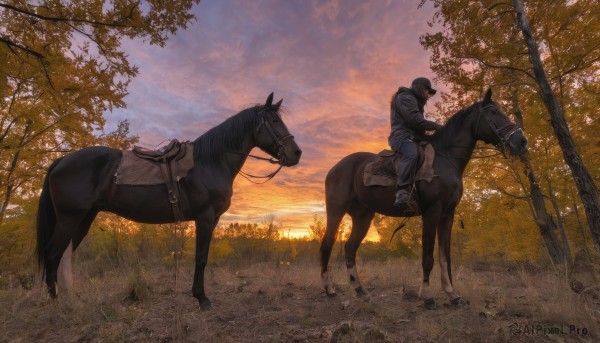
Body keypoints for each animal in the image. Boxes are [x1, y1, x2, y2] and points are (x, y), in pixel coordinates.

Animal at [35, 92, 302, 310]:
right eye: (275, 122)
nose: (296, 153)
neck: (210, 161)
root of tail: (61, 161)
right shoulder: (205, 217)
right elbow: (201, 258)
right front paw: (202, 299)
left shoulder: (212, 219)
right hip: (70, 218)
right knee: (52, 254)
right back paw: (56, 303)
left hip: (84, 218)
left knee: (63, 255)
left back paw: (71, 300)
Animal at [318, 90, 524, 310]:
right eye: (493, 112)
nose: (522, 141)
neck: (446, 158)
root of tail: (335, 168)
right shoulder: (432, 212)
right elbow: (428, 257)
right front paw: (427, 296)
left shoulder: (447, 214)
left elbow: (444, 257)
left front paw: (453, 295)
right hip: (336, 211)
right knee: (327, 245)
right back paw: (329, 289)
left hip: (363, 217)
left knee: (350, 249)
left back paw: (360, 291)